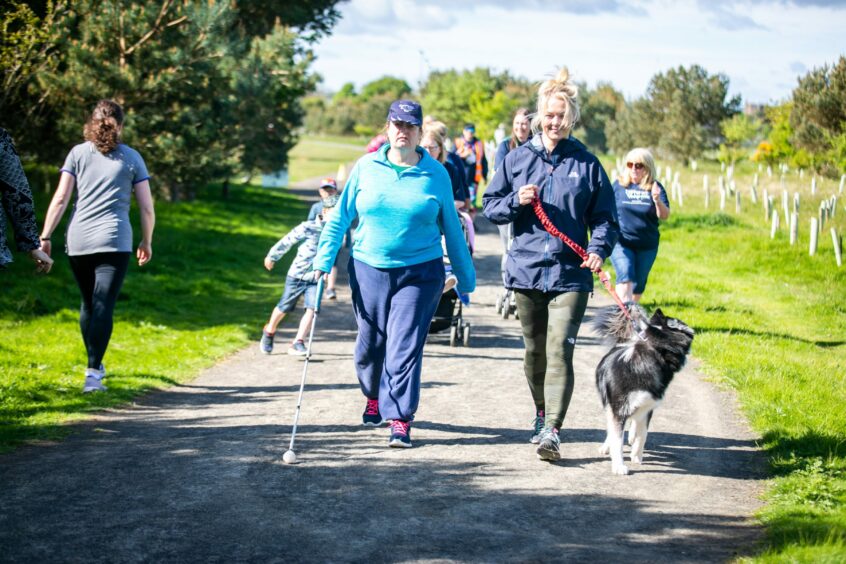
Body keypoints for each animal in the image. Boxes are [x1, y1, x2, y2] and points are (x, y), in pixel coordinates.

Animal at [596, 306, 696, 474]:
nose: (691, 329)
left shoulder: (648, 407)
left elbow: (643, 434)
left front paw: (637, 456)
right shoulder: (618, 408)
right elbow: (617, 439)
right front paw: (619, 465)